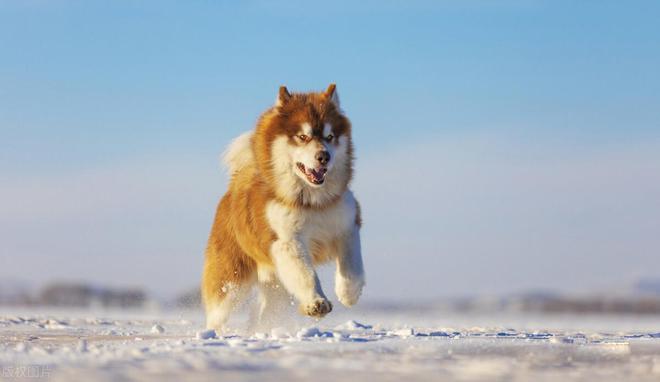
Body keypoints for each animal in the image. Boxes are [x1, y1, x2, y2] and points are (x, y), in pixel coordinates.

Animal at [201, 84, 366, 332]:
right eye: (303, 136)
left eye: (330, 137)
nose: (324, 156)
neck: (312, 202)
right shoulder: (286, 239)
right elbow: (305, 274)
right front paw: (316, 303)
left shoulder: (347, 223)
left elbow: (352, 264)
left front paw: (349, 293)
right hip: (232, 279)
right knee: (217, 310)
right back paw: (213, 333)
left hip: (276, 286)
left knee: (264, 313)